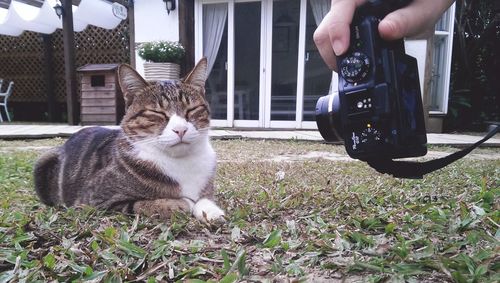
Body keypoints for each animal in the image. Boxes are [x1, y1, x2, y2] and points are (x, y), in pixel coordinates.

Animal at [33, 58, 225, 224]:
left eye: (191, 110)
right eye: (157, 113)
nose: (181, 130)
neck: (180, 161)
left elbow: (204, 197)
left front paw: (211, 210)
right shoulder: (94, 201)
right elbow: (146, 204)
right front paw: (184, 202)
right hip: (44, 160)